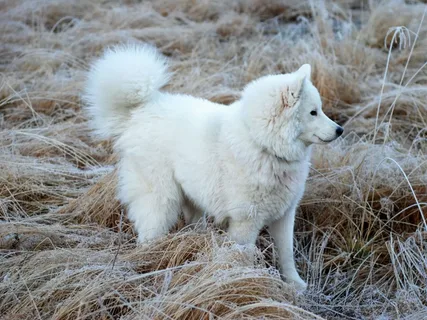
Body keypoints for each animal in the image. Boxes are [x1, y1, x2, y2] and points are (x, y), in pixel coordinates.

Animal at [84, 43, 344, 292]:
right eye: (313, 112)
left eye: (320, 109)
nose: (340, 130)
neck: (262, 144)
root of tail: (140, 110)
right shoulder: (245, 222)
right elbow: (244, 255)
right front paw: (248, 282)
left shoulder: (284, 214)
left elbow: (287, 255)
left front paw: (296, 286)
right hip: (160, 201)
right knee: (149, 232)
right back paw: (150, 260)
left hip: (192, 195)